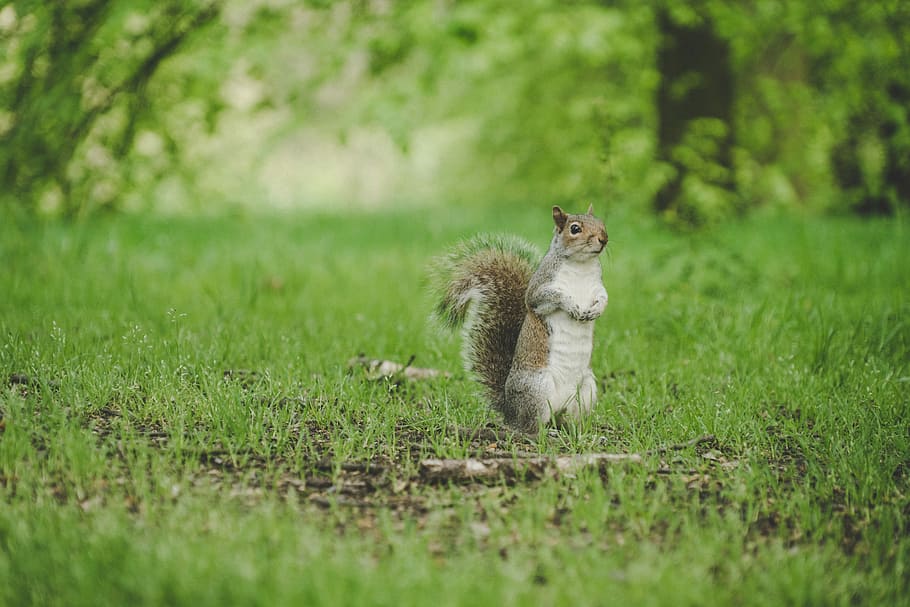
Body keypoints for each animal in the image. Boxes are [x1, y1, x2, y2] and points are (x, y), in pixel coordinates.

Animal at [431, 205, 608, 434]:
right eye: (575, 229)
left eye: (601, 222)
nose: (603, 239)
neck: (581, 266)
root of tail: (510, 412)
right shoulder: (539, 290)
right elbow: (551, 297)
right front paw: (573, 307)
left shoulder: (597, 286)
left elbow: (603, 298)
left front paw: (596, 311)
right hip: (537, 389)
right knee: (530, 428)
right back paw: (545, 432)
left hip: (586, 390)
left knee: (566, 421)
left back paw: (579, 432)